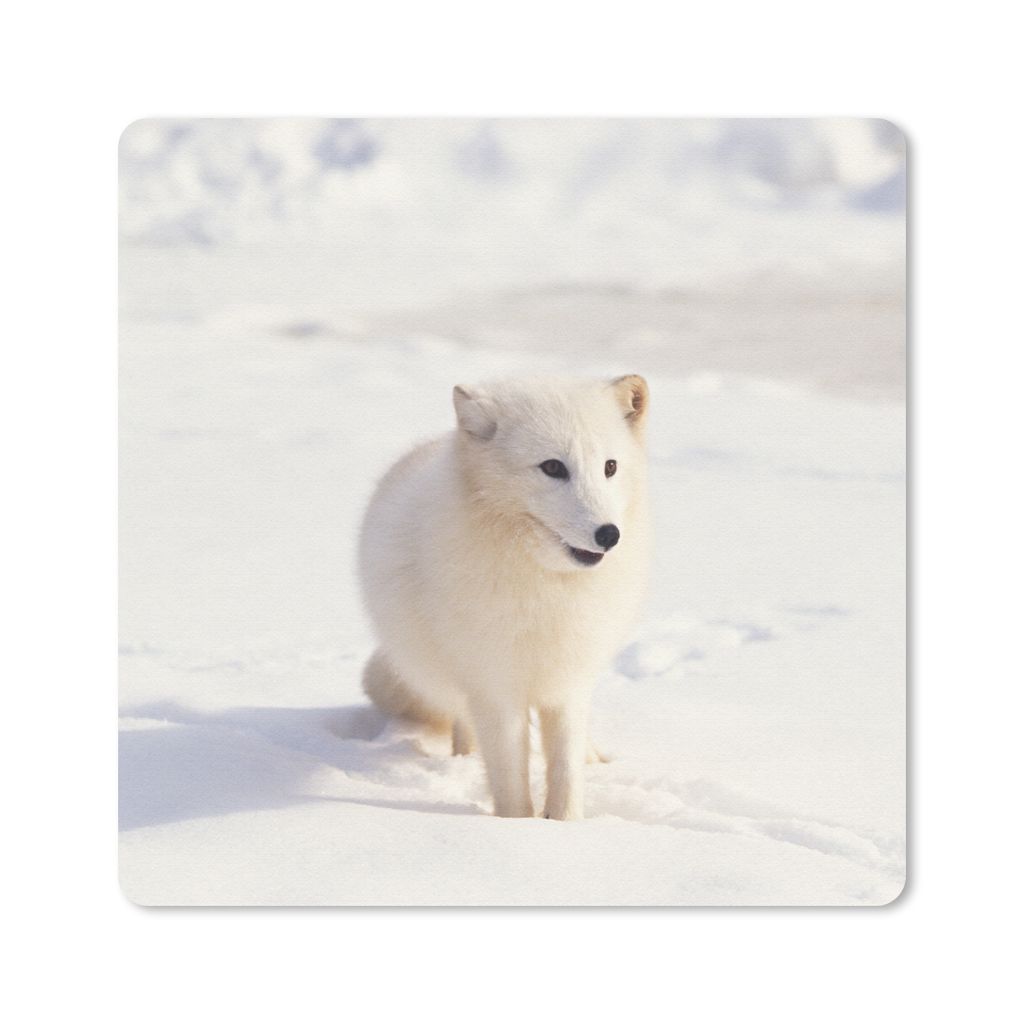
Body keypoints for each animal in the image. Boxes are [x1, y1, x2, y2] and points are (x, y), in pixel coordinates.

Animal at [358, 374, 650, 819]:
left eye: (610, 467)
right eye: (552, 467)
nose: (608, 534)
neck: (547, 591)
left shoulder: (568, 680)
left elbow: (566, 767)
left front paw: (566, 823)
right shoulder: (494, 687)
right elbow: (510, 777)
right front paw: (516, 826)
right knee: (464, 723)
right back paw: (464, 758)